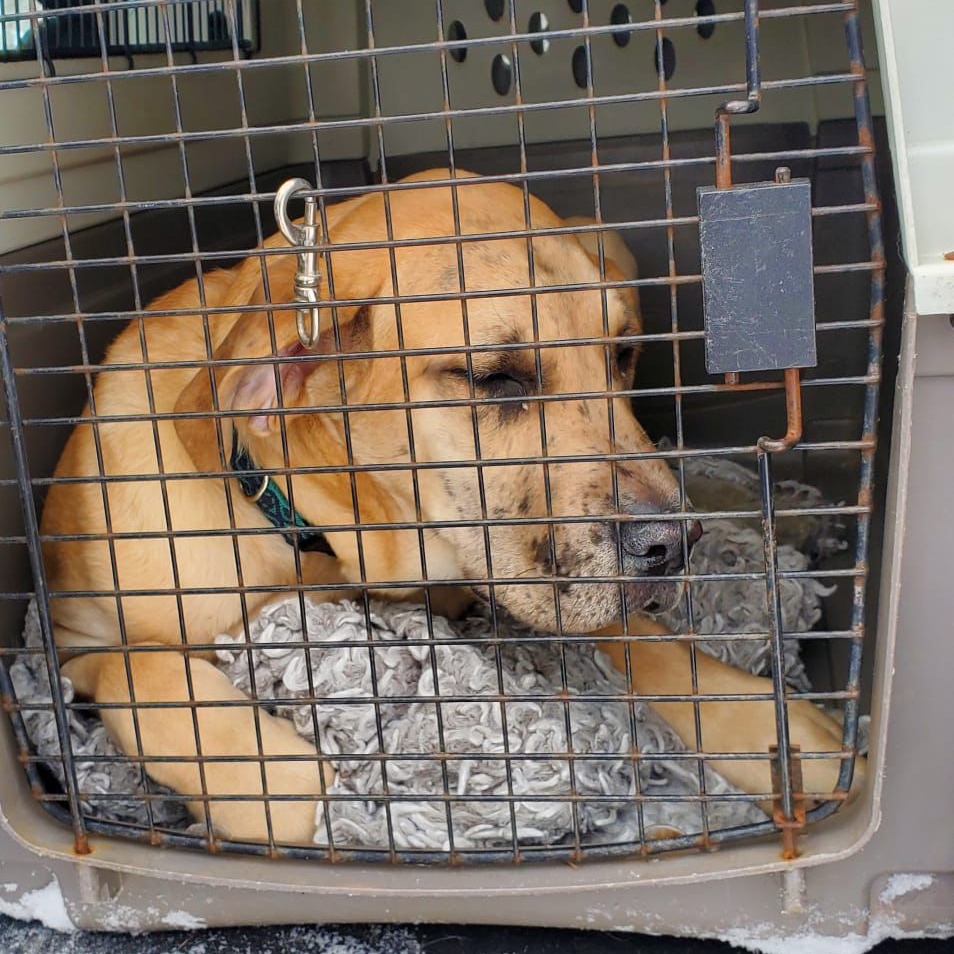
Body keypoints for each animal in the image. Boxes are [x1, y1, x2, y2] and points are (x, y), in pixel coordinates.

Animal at [41, 169, 865, 845]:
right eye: (496, 378)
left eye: (622, 354)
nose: (673, 547)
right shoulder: (74, 644)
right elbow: (142, 681)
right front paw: (316, 805)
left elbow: (653, 645)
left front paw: (782, 733)